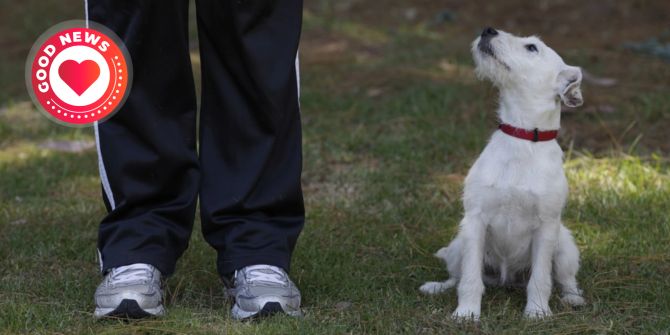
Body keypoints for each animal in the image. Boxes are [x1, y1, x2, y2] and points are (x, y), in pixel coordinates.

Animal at [422, 26, 584, 320]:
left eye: (532, 47)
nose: (488, 29)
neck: (521, 138)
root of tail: (507, 280)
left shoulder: (546, 227)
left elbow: (541, 278)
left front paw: (537, 312)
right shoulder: (475, 220)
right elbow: (470, 278)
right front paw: (467, 313)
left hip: (565, 247)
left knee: (566, 279)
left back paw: (573, 298)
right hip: (458, 244)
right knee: (456, 276)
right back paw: (436, 287)